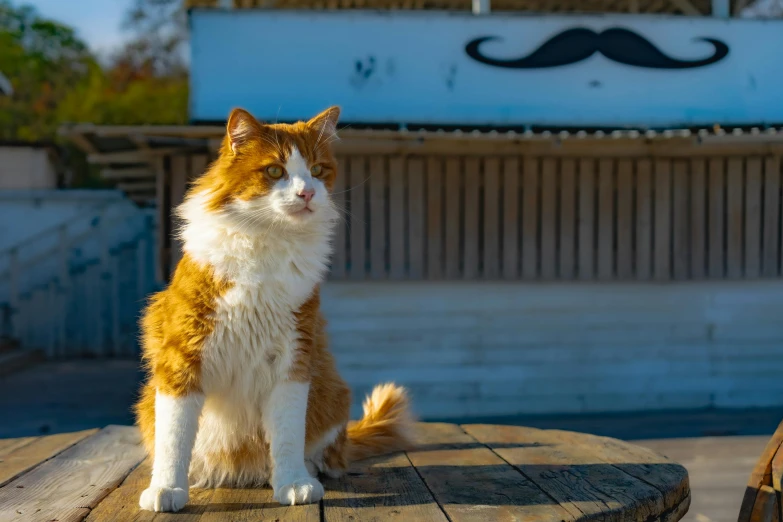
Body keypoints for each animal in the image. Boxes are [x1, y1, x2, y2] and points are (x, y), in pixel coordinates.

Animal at [135, 106, 416, 512]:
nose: (307, 192)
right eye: (274, 171)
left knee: (329, 451)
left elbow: (287, 433)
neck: (268, 242)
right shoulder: (182, 357)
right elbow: (174, 438)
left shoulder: (294, 357)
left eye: (317, 170)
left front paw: (293, 482)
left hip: (331, 390)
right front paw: (167, 488)